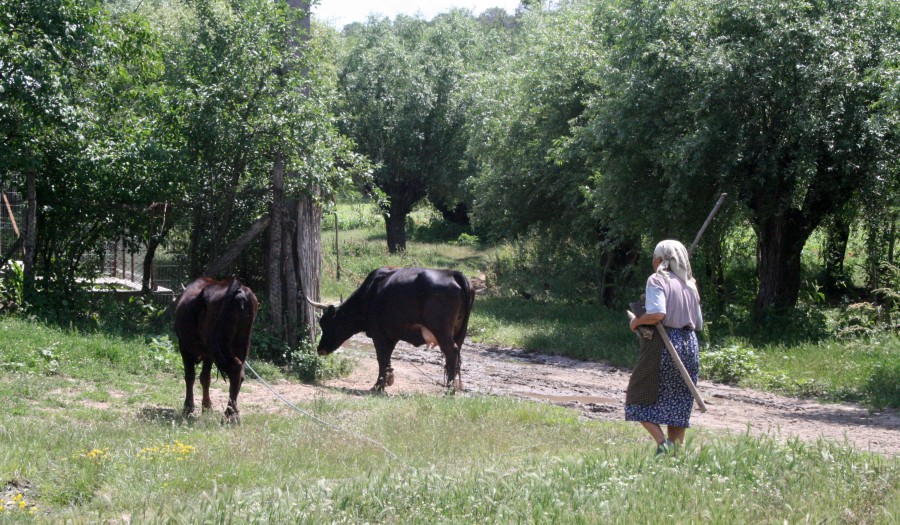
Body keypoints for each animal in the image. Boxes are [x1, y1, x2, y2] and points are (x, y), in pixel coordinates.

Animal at [174, 276, 256, 420]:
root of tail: (239, 289)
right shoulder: (209, 354)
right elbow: (205, 378)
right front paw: (207, 407)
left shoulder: (184, 347)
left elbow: (190, 376)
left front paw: (188, 407)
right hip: (241, 342)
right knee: (239, 373)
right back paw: (233, 412)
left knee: (235, 369)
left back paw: (230, 414)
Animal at [310, 266, 474, 388]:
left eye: (326, 324)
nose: (320, 349)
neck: (370, 292)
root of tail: (452, 274)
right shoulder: (392, 334)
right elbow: (387, 358)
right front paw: (388, 378)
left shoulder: (378, 334)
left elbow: (381, 358)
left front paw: (378, 385)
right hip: (459, 332)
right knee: (456, 356)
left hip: (441, 331)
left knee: (451, 352)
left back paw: (449, 390)